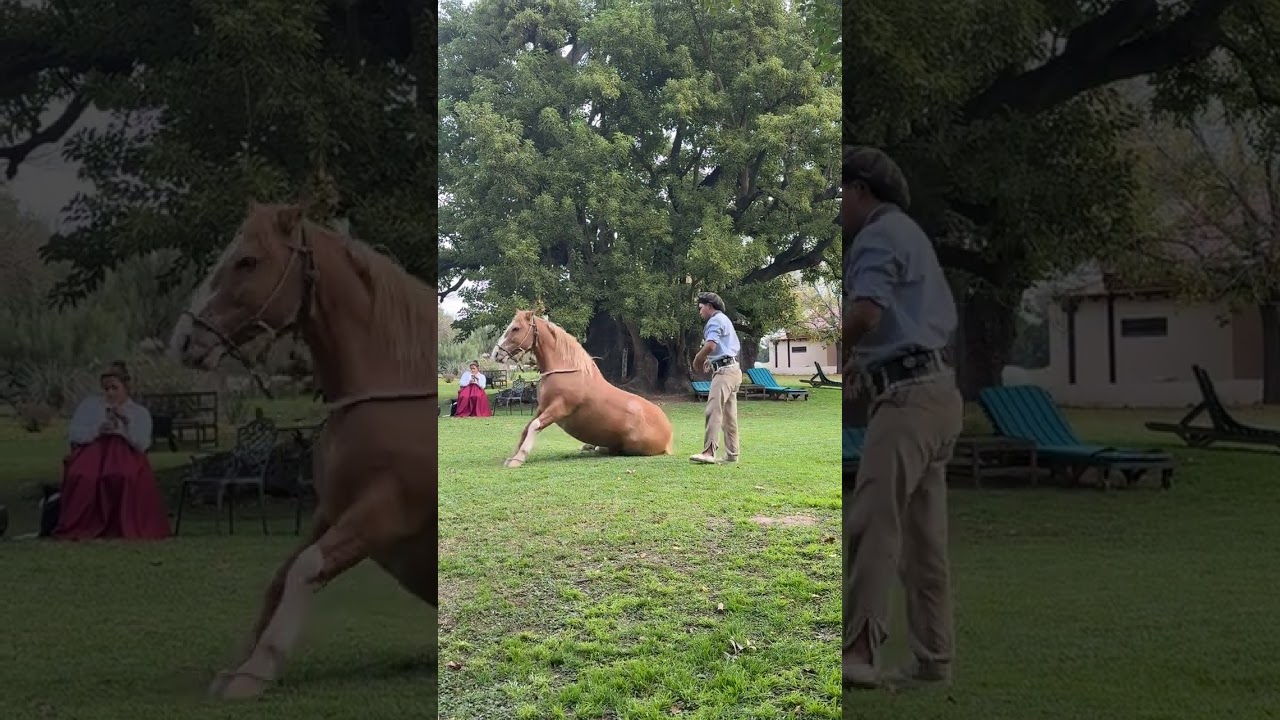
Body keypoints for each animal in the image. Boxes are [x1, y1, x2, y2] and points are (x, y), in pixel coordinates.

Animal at [168, 201, 437, 700]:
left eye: (247, 261)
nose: (184, 340)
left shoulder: (386, 510)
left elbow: (305, 569)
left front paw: (256, 671)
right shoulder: (331, 510)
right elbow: (281, 576)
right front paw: (238, 666)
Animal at [491, 310, 674, 468]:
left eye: (516, 328)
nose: (496, 354)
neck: (566, 371)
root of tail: (668, 436)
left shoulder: (558, 408)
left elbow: (534, 426)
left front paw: (518, 459)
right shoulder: (543, 408)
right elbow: (526, 428)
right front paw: (512, 457)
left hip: (631, 446)